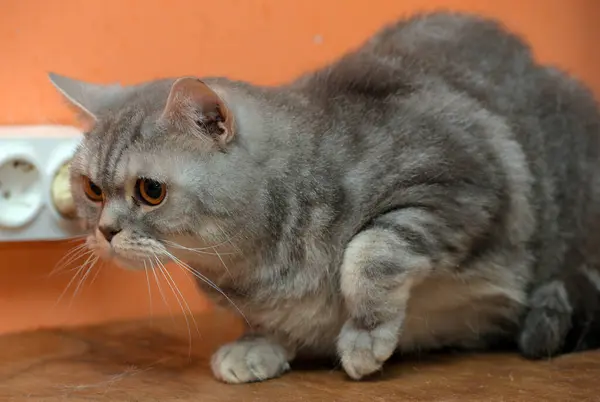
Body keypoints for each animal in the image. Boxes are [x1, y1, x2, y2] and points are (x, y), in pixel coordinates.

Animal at [49, 11, 600, 384]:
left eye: (150, 191)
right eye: (92, 189)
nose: (105, 230)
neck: (255, 266)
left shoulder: (457, 182)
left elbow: (369, 251)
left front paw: (364, 338)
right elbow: (266, 321)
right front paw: (259, 346)